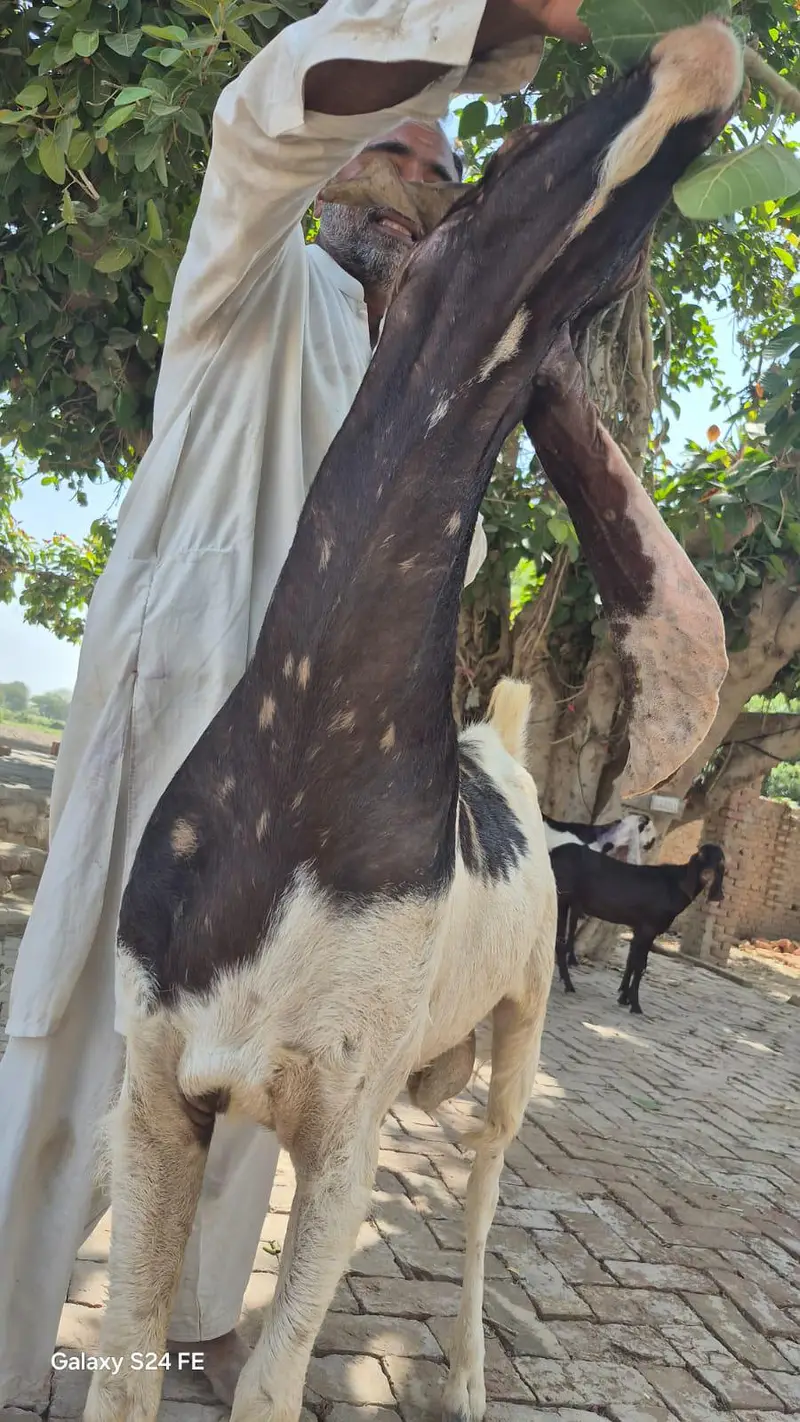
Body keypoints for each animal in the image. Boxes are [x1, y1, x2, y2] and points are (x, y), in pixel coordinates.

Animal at [551, 842, 725, 1011]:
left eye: (720, 861)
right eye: (701, 854)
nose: (707, 875)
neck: (675, 885)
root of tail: (553, 853)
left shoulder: (639, 927)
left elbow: (632, 961)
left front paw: (624, 998)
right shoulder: (649, 927)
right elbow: (640, 964)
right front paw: (635, 1004)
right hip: (561, 898)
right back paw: (568, 985)